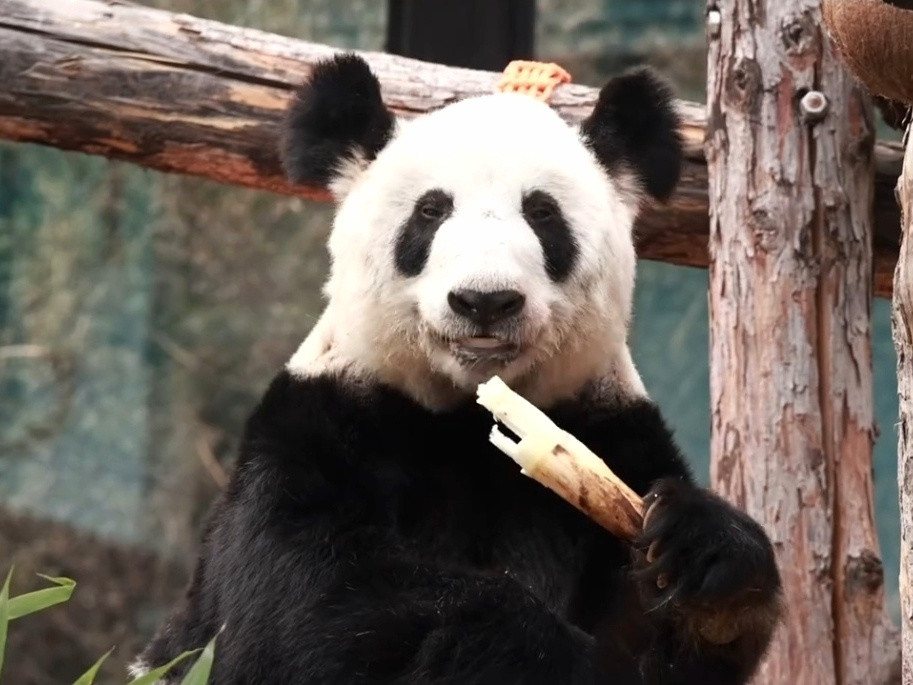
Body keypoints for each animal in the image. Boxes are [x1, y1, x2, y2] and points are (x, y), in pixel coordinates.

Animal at [132, 54, 780, 684]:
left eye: (542, 213)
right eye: (430, 211)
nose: (485, 300)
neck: (467, 414)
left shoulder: (608, 427)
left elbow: (652, 644)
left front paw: (710, 559)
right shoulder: (318, 424)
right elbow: (299, 605)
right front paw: (526, 644)